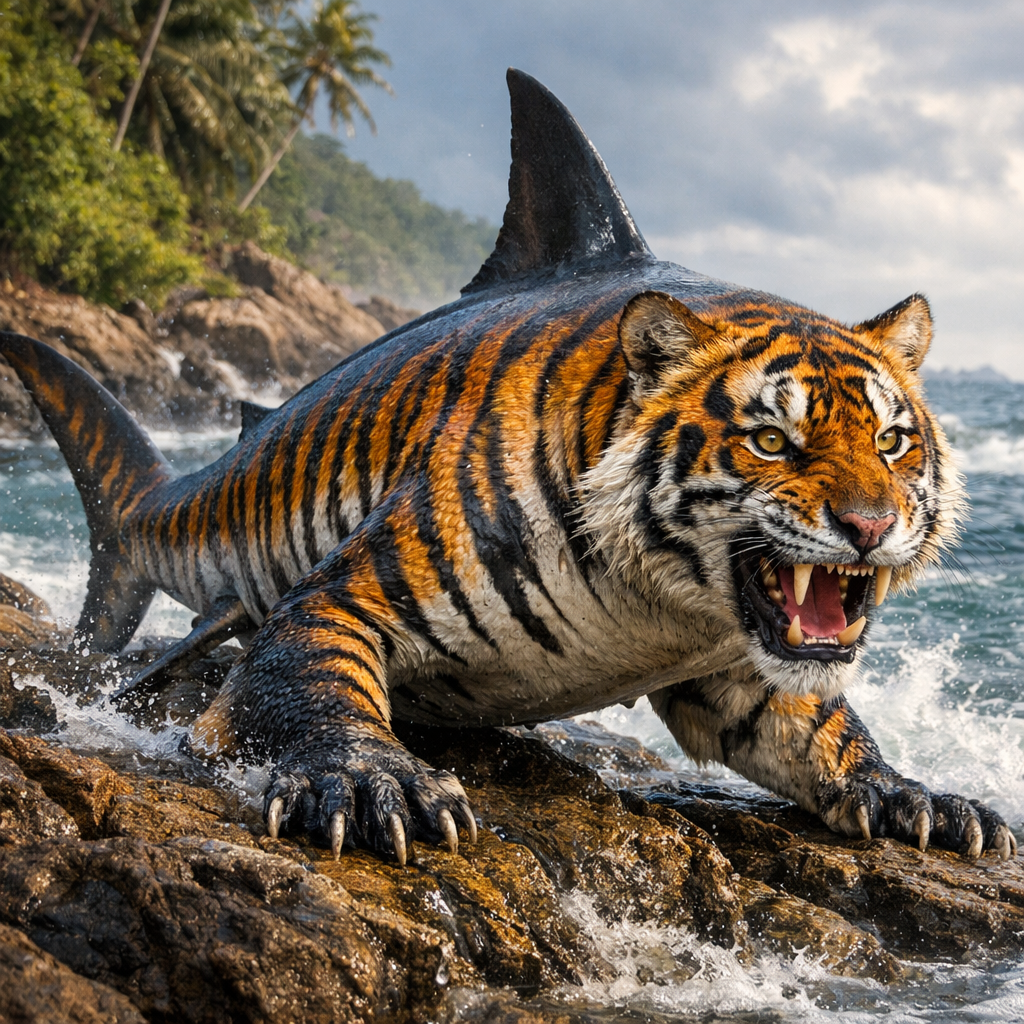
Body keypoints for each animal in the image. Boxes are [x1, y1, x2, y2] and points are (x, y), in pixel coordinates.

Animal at [0, 68, 1014, 864]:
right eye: (772, 440)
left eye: (893, 442)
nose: (871, 528)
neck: (662, 608)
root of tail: (148, 503)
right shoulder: (337, 598)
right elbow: (310, 679)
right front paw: (370, 781)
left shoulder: (740, 671)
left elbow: (827, 730)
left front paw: (911, 792)